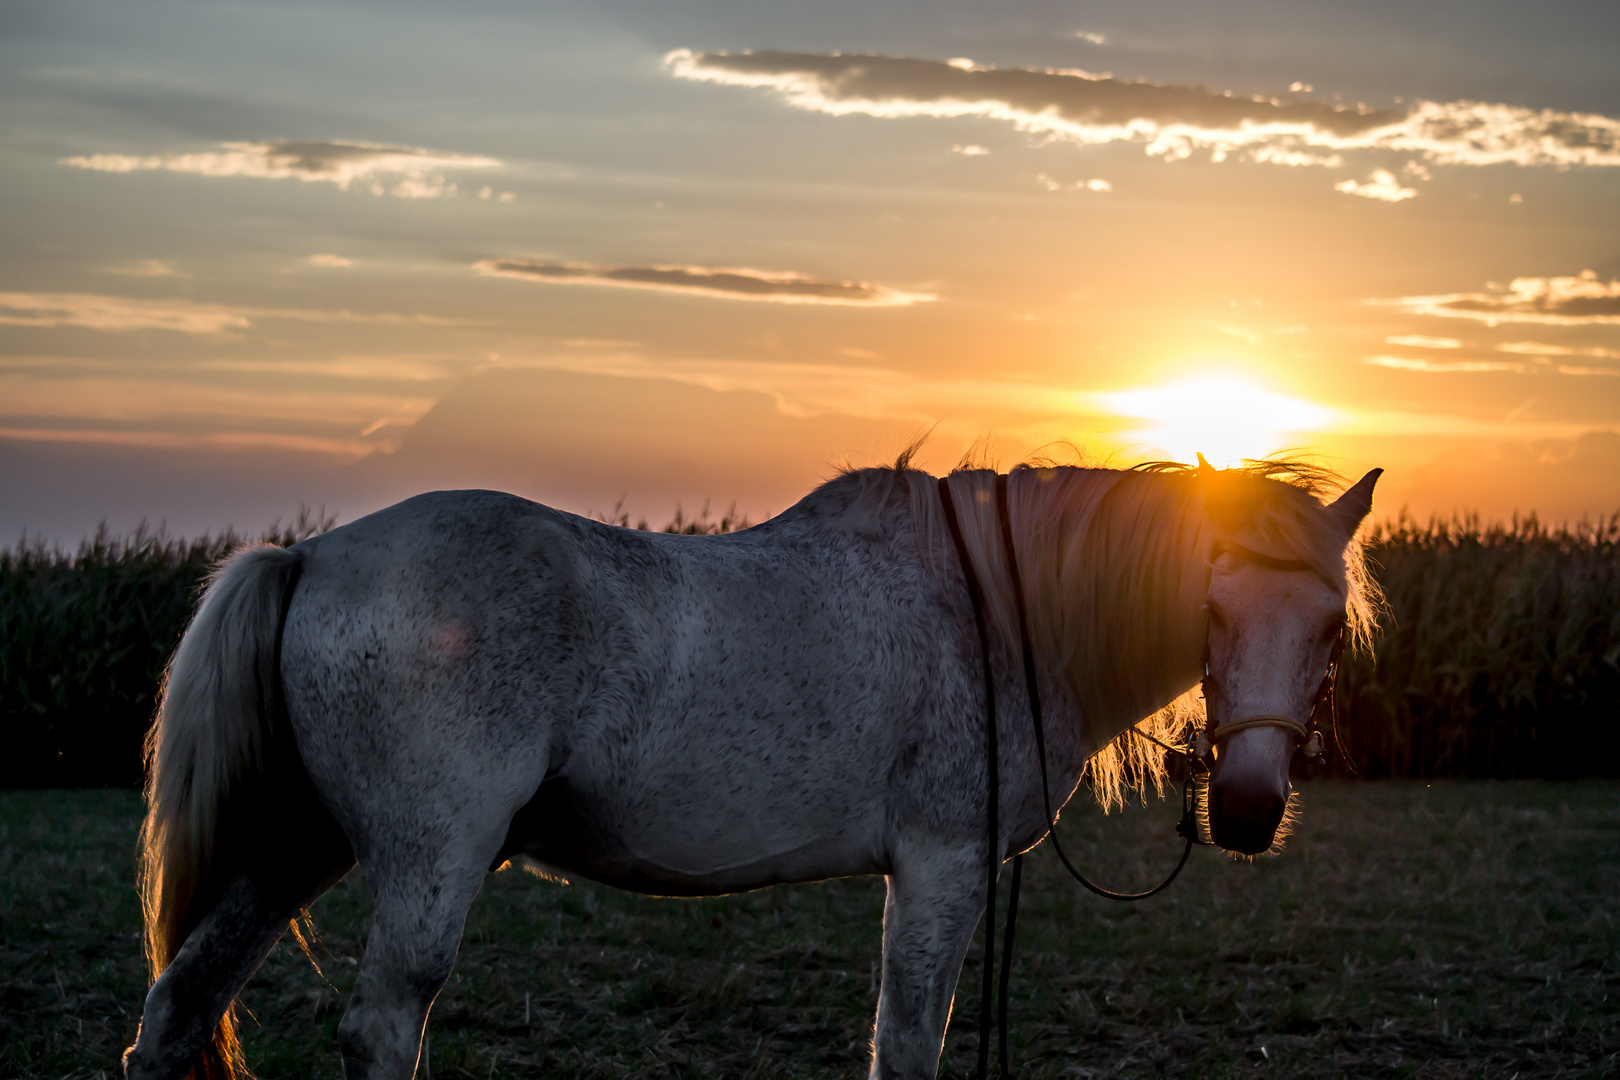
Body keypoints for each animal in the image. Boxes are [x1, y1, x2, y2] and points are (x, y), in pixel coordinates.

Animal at [119, 459, 1380, 1080]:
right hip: (426, 870)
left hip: (294, 847)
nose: (1249, 809)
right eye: (1213, 605)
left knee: (180, 1008)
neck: (998, 611)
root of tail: (312, 555)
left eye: (1329, 624)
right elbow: (906, 1044)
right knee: (381, 1030)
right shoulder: (940, 865)